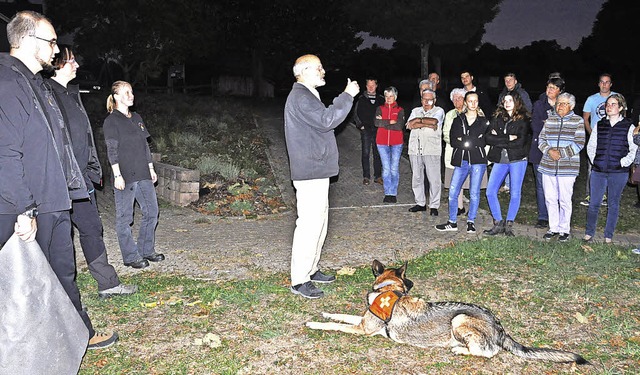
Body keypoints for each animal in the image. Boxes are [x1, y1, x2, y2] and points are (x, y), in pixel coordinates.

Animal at [308, 262, 588, 364]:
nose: (411, 284)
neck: (390, 289)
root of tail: (499, 326)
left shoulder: (362, 330)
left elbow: (337, 325)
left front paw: (314, 324)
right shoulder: (363, 322)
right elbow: (341, 316)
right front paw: (325, 313)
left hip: (460, 319)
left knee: (488, 352)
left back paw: (460, 350)